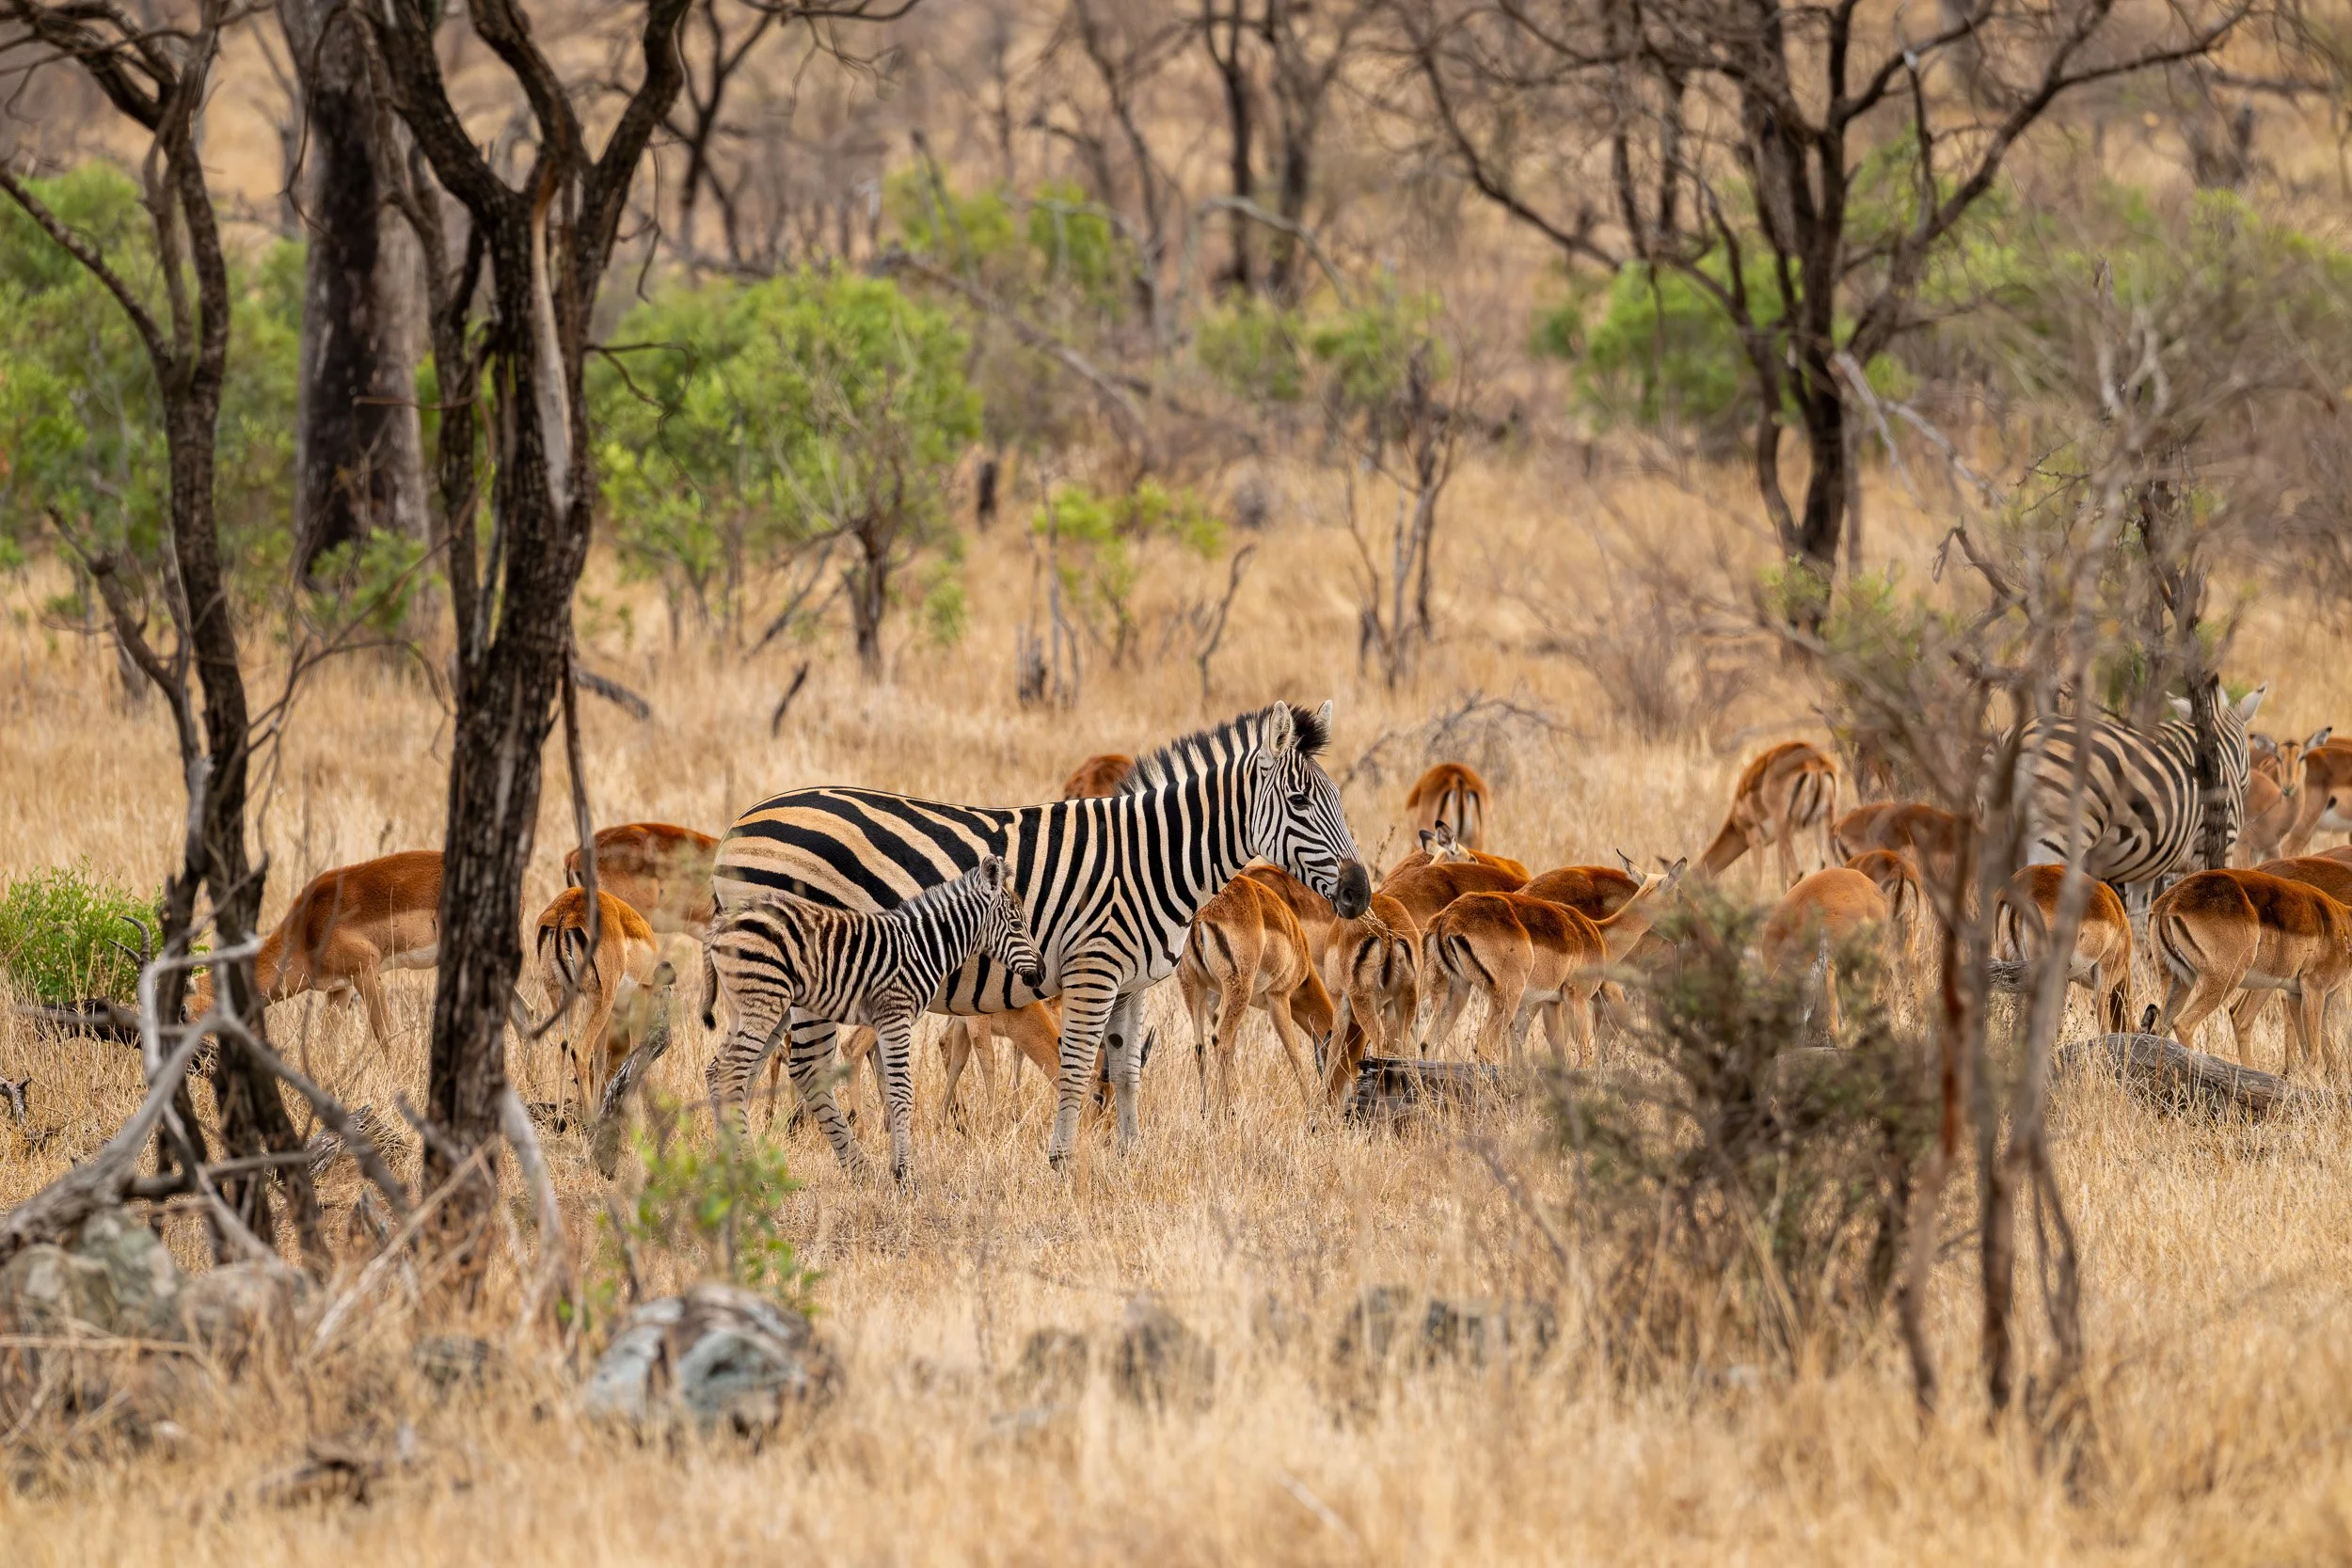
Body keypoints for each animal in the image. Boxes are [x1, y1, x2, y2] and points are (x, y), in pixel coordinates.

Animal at [701, 855, 1046, 1182]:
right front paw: (905, 1175)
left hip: (743, 1007)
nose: (1041, 973)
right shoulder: (896, 1014)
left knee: (717, 1070)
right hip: (766, 1001)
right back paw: (749, 1170)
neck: (925, 947)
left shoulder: (884, 1020)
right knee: (735, 1070)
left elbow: (889, 1088)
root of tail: (722, 923)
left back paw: (727, 1162)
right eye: (1017, 925)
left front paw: (896, 1165)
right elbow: (902, 1090)